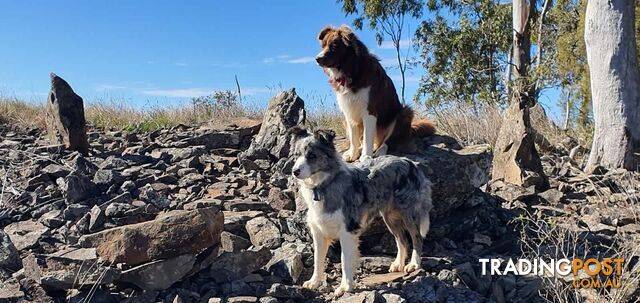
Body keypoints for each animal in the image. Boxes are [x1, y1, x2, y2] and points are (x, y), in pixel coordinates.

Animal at [316, 25, 436, 163]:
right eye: (323, 46)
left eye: (334, 46)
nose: (317, 59)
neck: (351, 69)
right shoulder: (349, 110)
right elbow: (354, 137)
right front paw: (353, 154)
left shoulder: (369, 110)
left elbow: (368, 137)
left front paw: (366, 156)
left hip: (404, 113)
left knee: (386, 142)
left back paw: (379, 151)